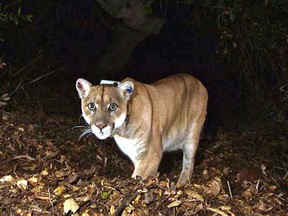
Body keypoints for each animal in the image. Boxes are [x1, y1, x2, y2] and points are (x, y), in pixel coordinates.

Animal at [76, 74, 207, 184]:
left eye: (113, 106)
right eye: (91, 106)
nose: (100, 126)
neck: (122, 132)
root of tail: (198, 81)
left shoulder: (151, 154)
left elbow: (138, 176)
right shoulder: (136, 154)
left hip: (192, 135)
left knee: (189, 162)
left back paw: (182, 182)